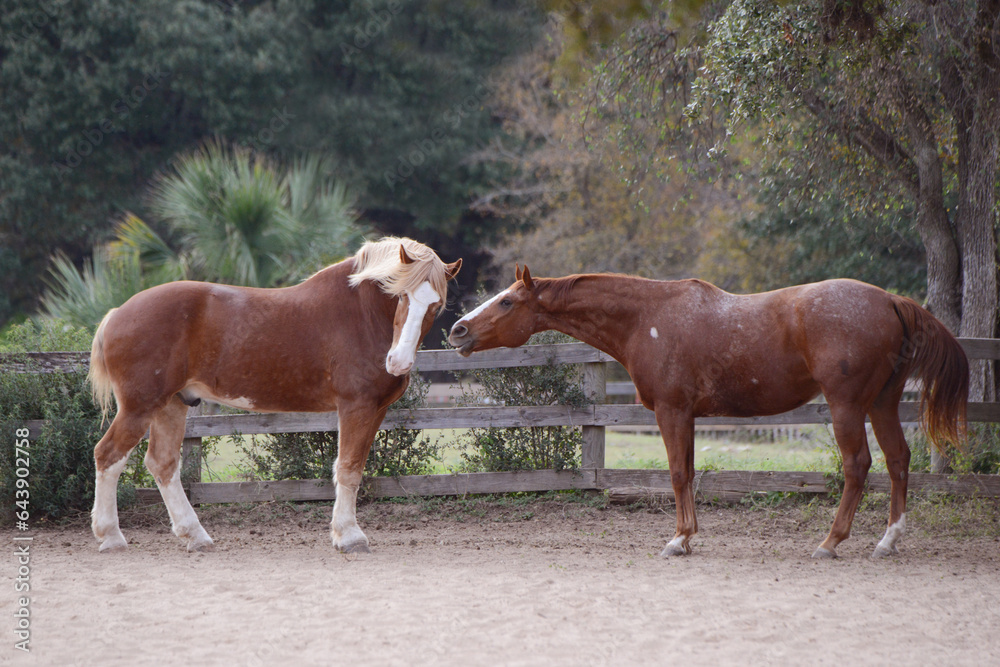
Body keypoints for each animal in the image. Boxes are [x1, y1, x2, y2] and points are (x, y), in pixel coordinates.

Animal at [88, 237, 461, 553]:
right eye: (401, 295)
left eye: (436, 305)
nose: (398, 362)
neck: (361, 313)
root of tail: (116, 314)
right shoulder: (357, 407)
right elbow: (348, 469)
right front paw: (349, 536)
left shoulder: (376, 410)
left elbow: (354, 468)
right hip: (139, 407)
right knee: (108, 456)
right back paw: (111, 537)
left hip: (171, 405)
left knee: (162, 464)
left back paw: (195, 536)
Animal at [448, 266, 968, 559]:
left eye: (507, 301)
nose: (458, 330)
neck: (647, 319)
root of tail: (890, 300)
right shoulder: (690, 416)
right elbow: (692, 472)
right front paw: (689, 537)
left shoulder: (672, 411)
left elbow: (678, 474)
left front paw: (678, 541)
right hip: (882, 403)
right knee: (899, 461)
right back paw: (887, 542)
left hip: (846, 406)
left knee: (858, 466)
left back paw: (830, 543)